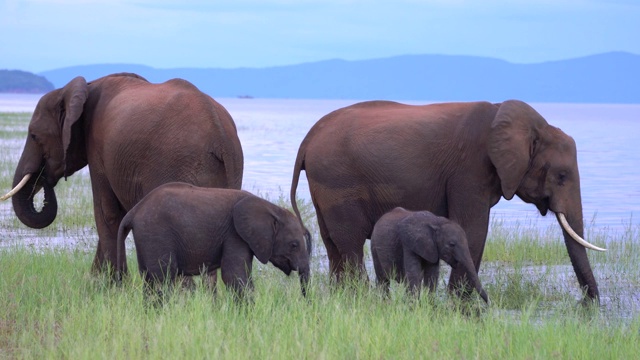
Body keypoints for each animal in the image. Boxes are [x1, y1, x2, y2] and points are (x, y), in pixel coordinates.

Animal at [1, 74, 245, 276]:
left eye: (34, 135)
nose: (44, 178)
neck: (83, 88)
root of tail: (220, 136)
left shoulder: (98, 148)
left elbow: (107, 213)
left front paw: (111, 286)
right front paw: (96, 283)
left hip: (180, 164)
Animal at [119, 183, 314, 298]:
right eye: (294, 245)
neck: (271, 208)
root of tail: (134, 211)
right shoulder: (234, 235)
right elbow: (234, 277)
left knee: (149, 279)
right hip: (156, 233)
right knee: (162, 277)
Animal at [290, 98, 604, 304]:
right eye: (561, 176)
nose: (591, 303)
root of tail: (308, 137)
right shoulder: (470, 170)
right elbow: (473, 228)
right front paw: (460, 300)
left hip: (325, 184)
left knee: (332, 243)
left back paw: (342, 296)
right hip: (338, 179)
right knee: (350, 243)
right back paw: (359, 298)